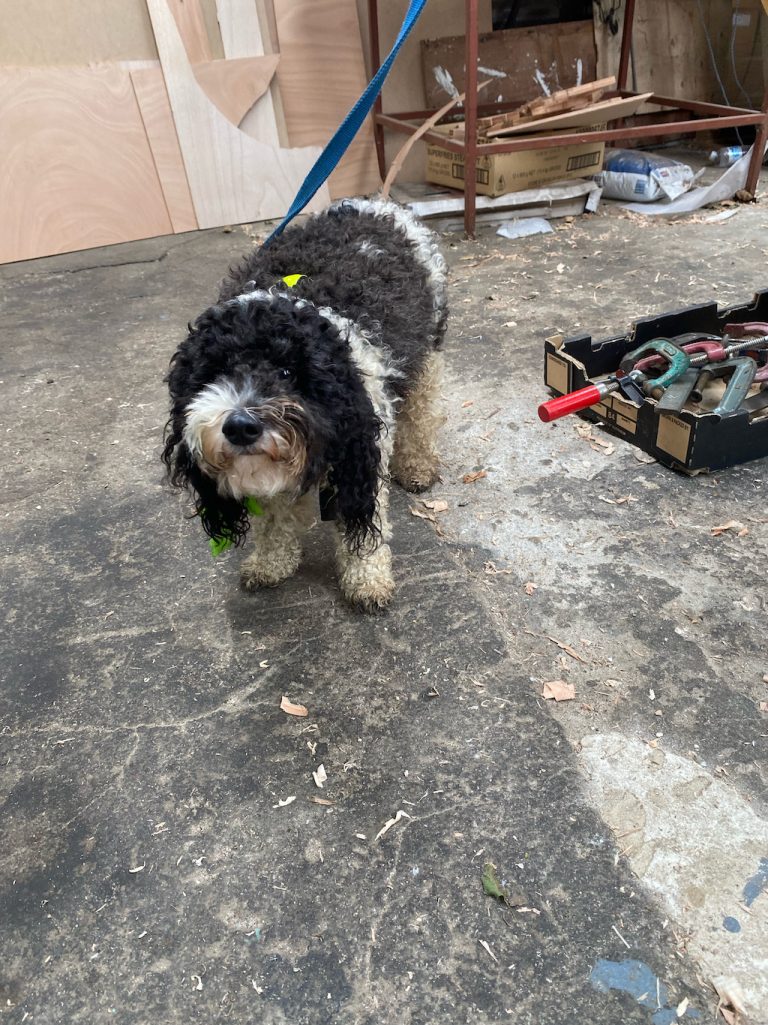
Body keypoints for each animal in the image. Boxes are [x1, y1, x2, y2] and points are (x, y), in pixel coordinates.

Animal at [163, 197, 449, 606]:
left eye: (287, 372)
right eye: (215, 372)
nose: (240, 427)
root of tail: (374, 202)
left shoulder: (362, 451)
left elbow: (364, 526)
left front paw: (367, 579)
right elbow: (273, 521)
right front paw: (270, 562)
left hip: (429, 350)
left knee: (422, 411)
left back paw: (417, 465)